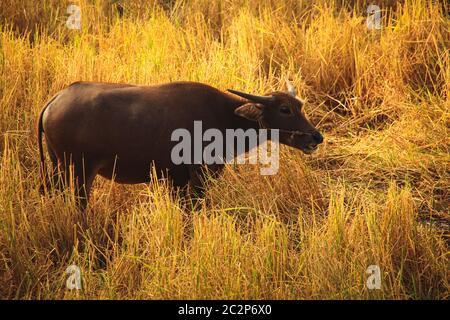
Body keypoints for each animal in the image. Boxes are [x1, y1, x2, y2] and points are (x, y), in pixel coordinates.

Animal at [37, 79, 322, 209]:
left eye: (300, 106)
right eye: (285, 109)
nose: (316, 137)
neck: (224, 117)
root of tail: (56, 100)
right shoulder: (195, 180)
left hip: (56, 167)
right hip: (79, 171)